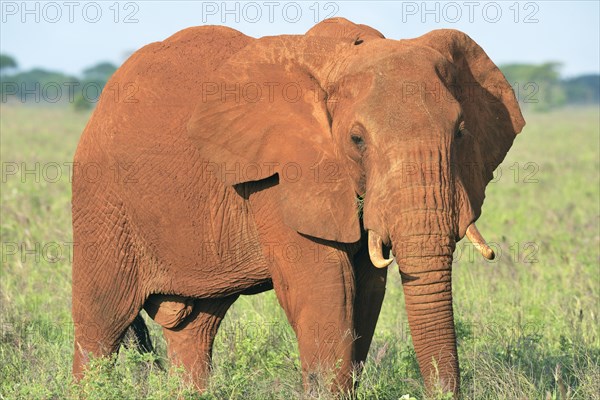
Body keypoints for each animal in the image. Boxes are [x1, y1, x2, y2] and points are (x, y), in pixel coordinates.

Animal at [70, 18, 524, 396]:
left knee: (195, 327)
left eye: (461, 132)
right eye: (357, 140)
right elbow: (327, 286)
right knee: (100, 325)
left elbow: (366, 291)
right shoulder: (278, 173)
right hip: (102, 201)